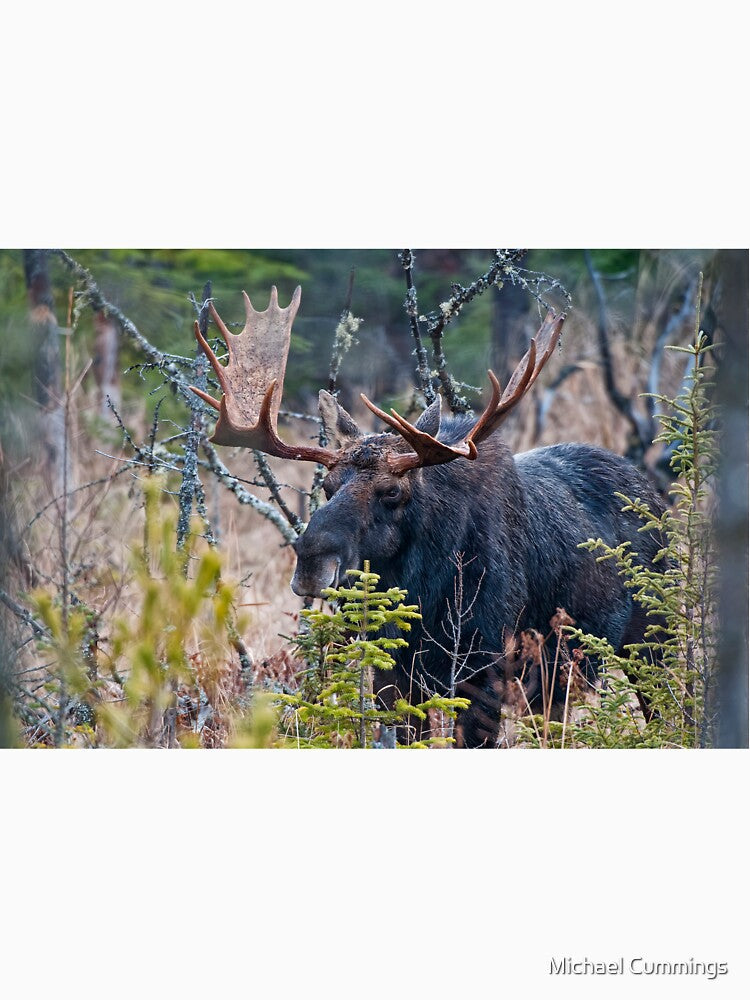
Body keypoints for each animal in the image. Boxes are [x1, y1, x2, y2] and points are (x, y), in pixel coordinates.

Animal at [190, 284, 666, 746]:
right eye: (327, 486)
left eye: (392, 492)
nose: (311, 561)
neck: (425, 590)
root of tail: (654, 495)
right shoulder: (394, 671)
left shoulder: (484, 667)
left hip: (650, 639)